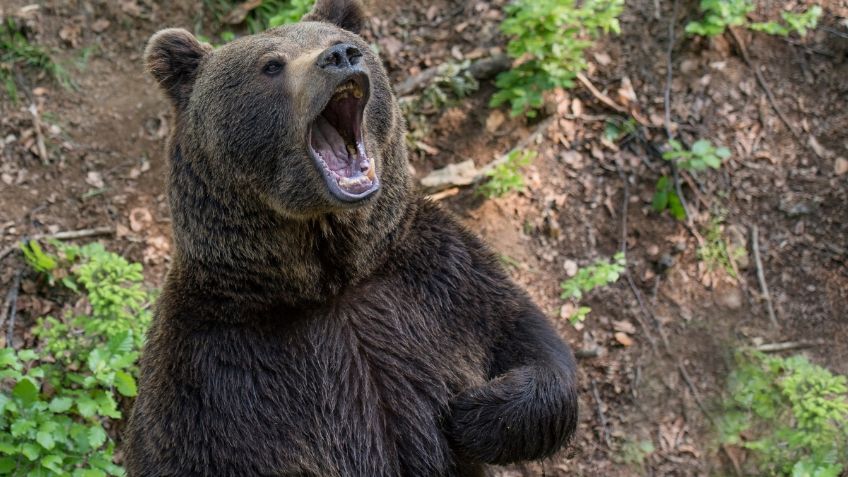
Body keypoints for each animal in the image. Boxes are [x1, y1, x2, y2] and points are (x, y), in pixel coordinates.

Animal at [124, 1, 576, 474]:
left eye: (344, 41)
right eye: (271, 65)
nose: (340, 56)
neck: (331, 279)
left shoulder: (442, 281)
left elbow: (529, 341)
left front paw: (473, 414)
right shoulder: (211, 369)